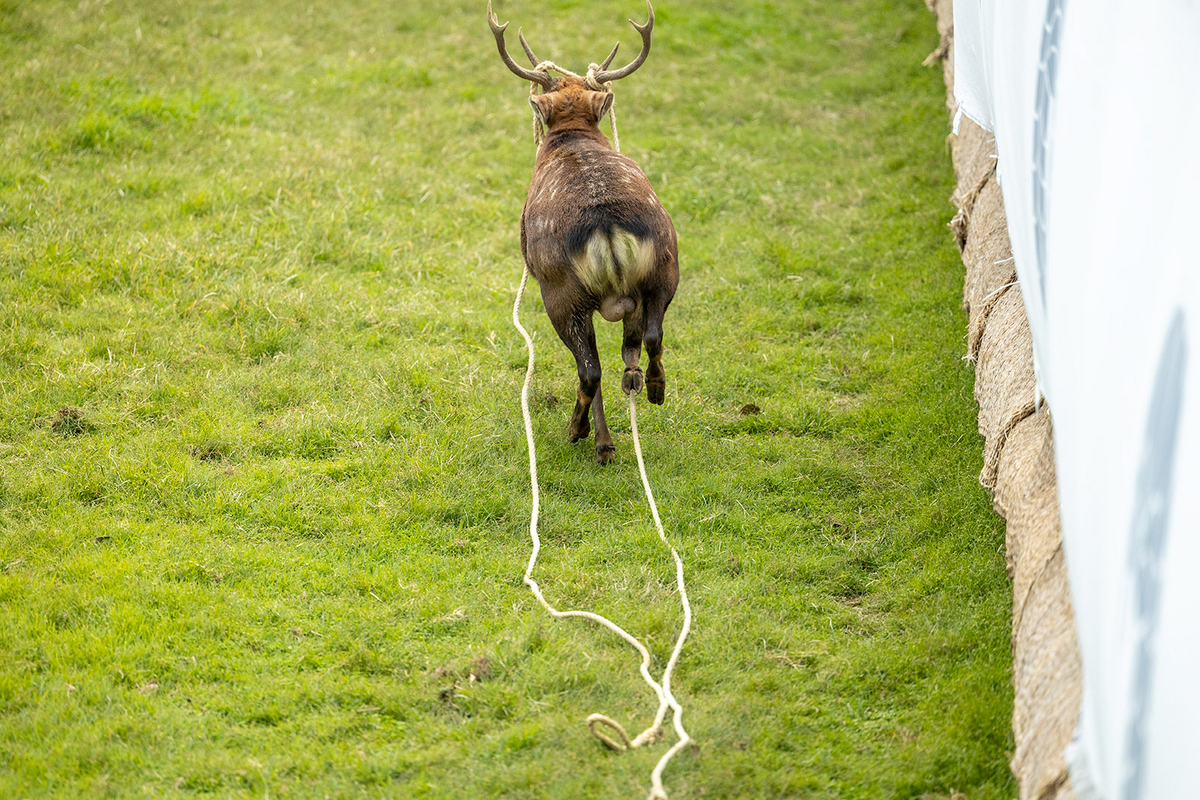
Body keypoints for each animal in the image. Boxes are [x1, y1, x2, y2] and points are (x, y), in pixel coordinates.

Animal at [484, 0, 676, 465]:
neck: (573, 134)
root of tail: (607, 228)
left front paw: (597, 438)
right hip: (665, 264)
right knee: (646, 340)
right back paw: (653, 389)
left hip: (560, 291)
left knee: (590, 368)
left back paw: (580, 431)